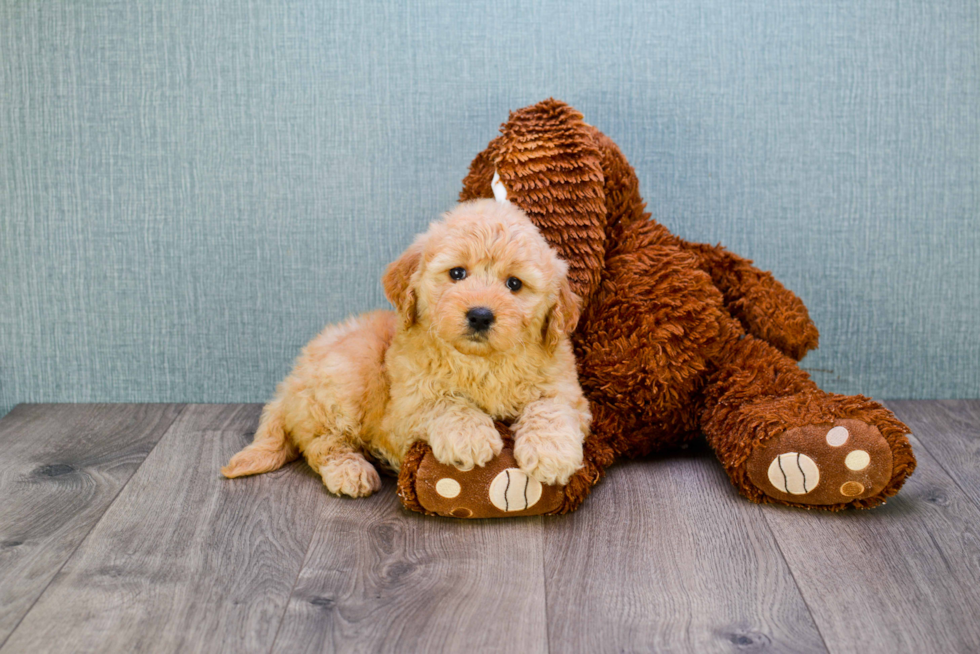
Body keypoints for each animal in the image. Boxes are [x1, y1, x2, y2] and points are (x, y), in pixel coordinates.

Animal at [222, 199, 588, 498]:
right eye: (457, 273)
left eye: (514, 284)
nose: (481, 315)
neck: (480, 362)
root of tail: (289, 383)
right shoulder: (403, 410)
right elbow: (443, 403)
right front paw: (470, 436)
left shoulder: (568, 390)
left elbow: (550, 407)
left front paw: (551, 452)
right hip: (345, 378)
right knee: (322, 442)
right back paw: (350, 471)